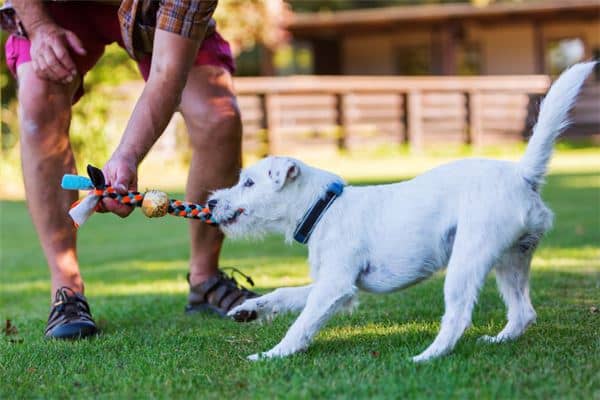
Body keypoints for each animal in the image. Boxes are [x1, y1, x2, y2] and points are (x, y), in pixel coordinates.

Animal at [210, 62, 596, 362]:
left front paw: (273, 354)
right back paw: (498, 340)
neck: (323, 207)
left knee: (458, 316)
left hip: (468, 259)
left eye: (248, 182)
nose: (211, 202)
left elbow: (301, 324)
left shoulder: (335, 286)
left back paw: (427, 357)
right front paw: (249, 310)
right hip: (511, 260)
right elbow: (284, 295)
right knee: (522, 312)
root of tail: (522, 175)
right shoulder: (335, 286)